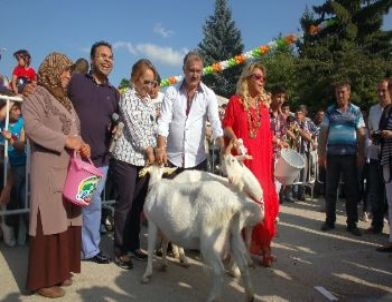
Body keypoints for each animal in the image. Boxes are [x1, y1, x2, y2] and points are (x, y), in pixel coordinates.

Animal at [139, 165, 262, 302]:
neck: (155, 184)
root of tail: (234, 206)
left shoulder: (152, 222)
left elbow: (150, 249)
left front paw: (147, 274)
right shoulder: (164, 226)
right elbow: (165, 244)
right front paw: (164, 264)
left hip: (210, 241)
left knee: (219, 270)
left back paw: (212, 298)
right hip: (233, 234)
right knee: (243, 266)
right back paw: (249, 296)